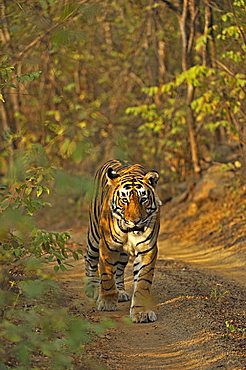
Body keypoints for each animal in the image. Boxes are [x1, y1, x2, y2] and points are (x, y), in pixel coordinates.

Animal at [84, 159, 161, 324]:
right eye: (124, 200)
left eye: (143, 199)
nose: (135, 221)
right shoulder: (107, 246)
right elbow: (107, 276)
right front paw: (107, 303)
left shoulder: (147, 250)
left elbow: (142, 283)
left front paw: (141, 312)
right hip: (94, 237)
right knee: (89, 259)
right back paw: (92, 289)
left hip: (123, 254)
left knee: (119, 269)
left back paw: (120, 292)